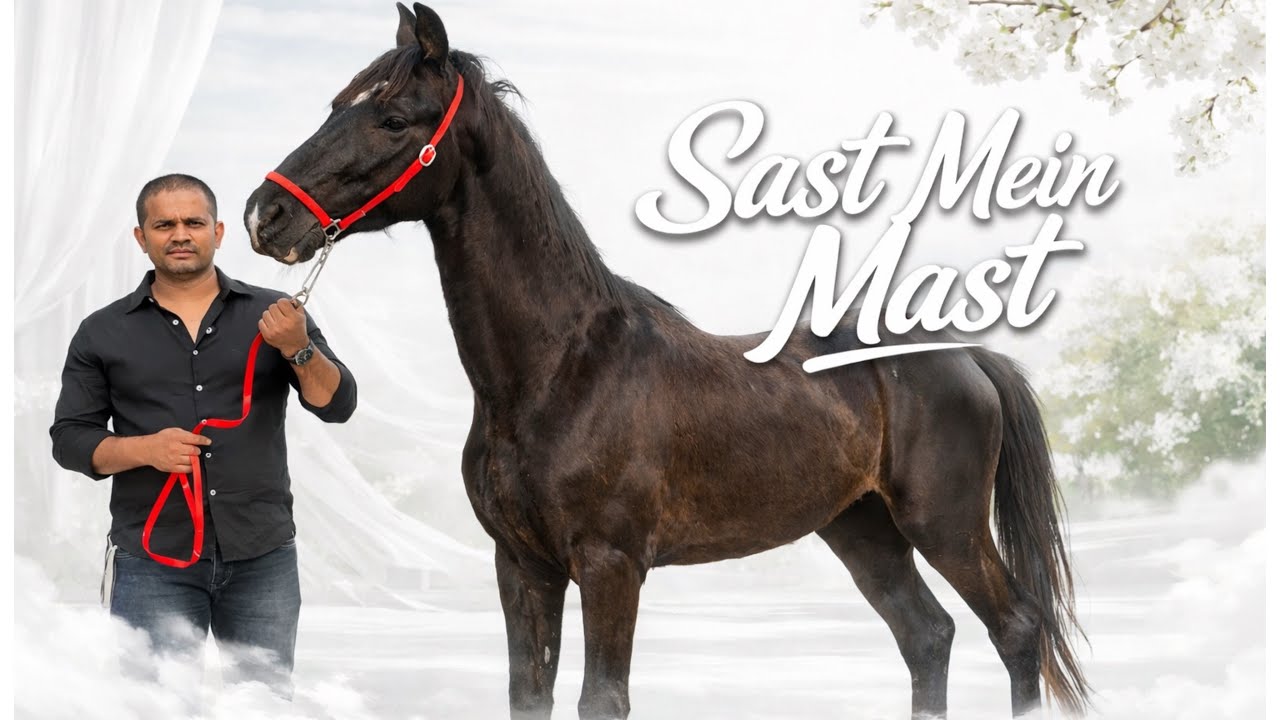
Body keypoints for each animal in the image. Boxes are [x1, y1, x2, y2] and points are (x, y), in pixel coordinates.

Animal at [244, 4, 1090, 718]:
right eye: (335, 105)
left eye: (392, 117)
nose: (264, 214)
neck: (559, 370)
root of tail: (965, 355)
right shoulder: (522, 566)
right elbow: (529, 697)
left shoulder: (610, 565)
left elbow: (602, 699)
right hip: (863, 531)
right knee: (927, 637)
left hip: (943, 524)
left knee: (1015, 630)